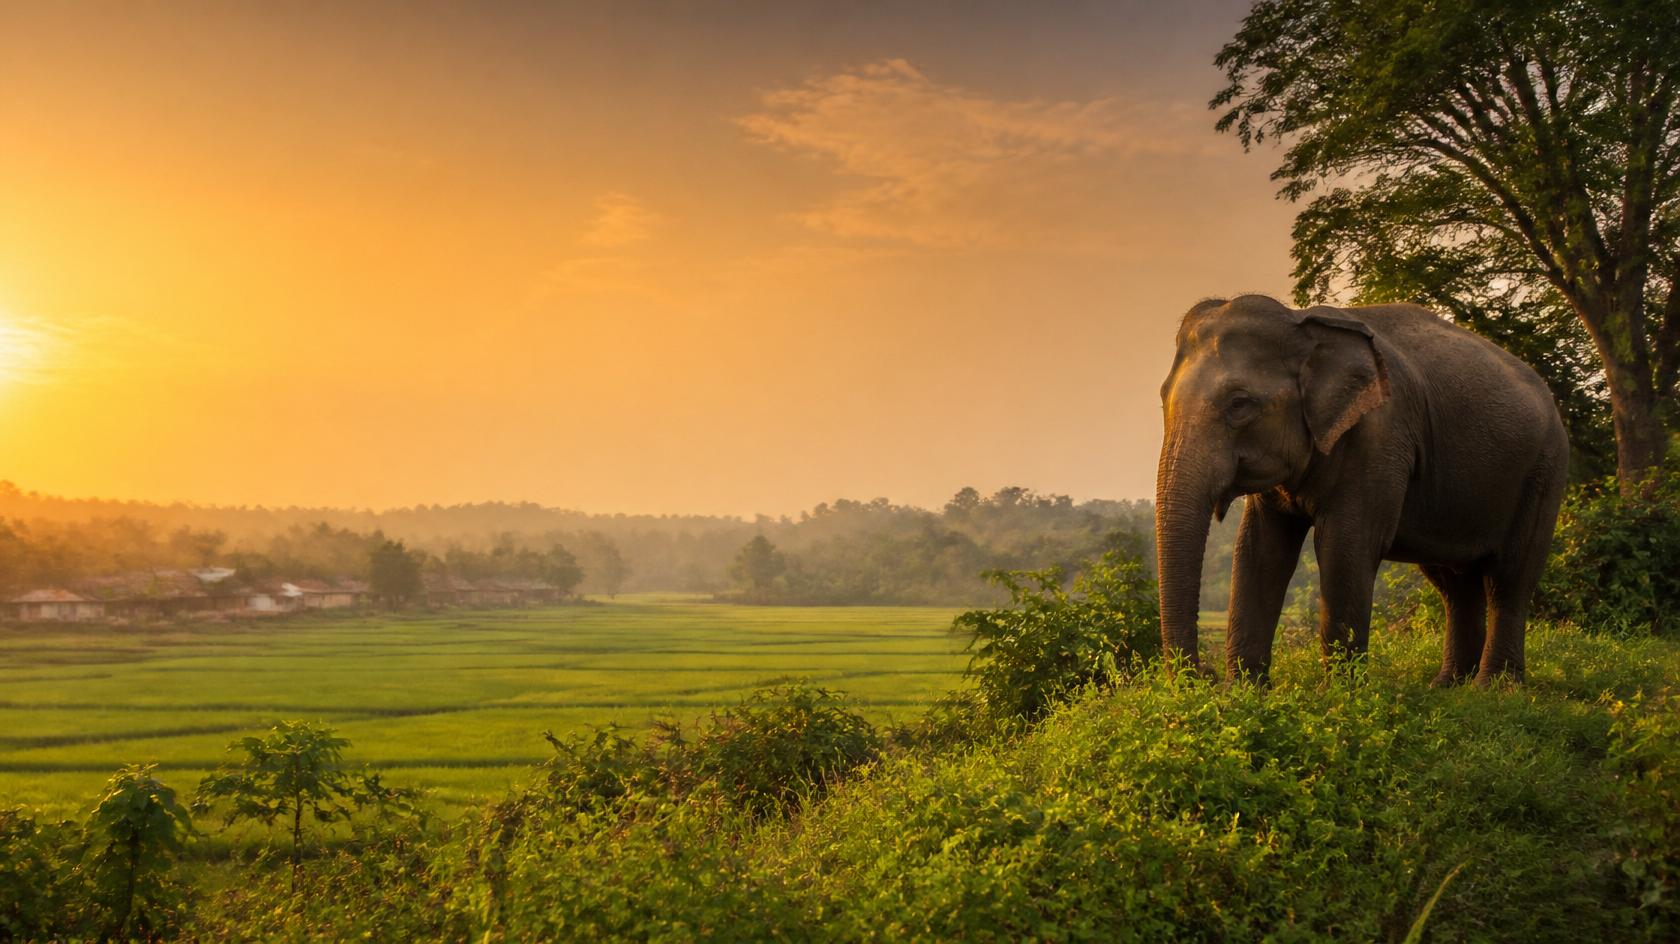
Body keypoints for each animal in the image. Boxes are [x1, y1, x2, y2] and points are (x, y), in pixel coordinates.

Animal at [1153, 294, 1568, 686]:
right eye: (1163, 399)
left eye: (1240, 405)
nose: (1203, 673)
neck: (1300, 321)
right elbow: (1260, 548)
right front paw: (1243, 691)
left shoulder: (1380, 436)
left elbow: (1345, 545)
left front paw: (1339, 693)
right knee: (1454, 583)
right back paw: (1449, 686)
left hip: (1544, 472)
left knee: (1509, 577)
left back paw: (1493, 687)